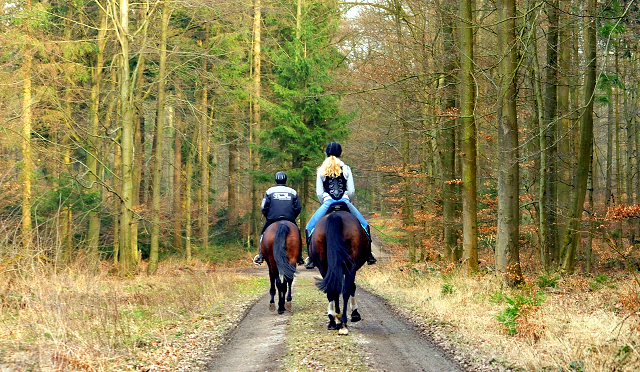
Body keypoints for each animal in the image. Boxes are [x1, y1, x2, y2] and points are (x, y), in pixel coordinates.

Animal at [308, 202, 372, 336]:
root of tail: (336, 216)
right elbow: (352, 287)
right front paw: (354, 314)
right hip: (349, 266)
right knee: (346, 289)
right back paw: (342, 322)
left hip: (324, 266)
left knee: (333, 289)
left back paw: (335, 321)